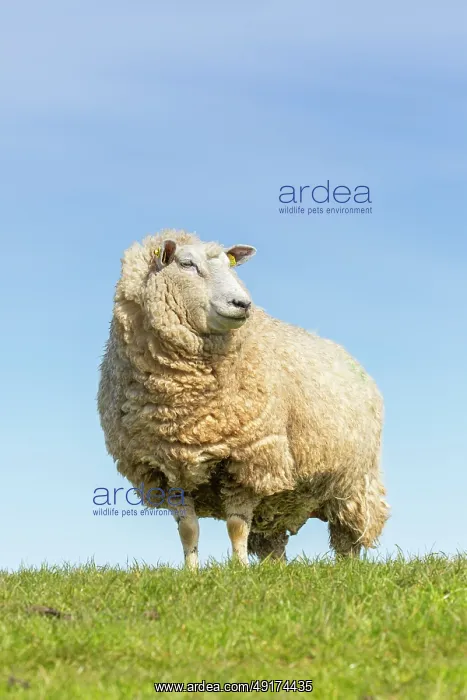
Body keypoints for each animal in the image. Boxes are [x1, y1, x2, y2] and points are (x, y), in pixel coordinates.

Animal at [97, 229, 389, 568]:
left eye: (230, 266)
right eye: (187, 264)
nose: (242, 303)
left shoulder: (249, 456)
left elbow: (237, 526)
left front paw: (238, 569)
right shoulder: (166, 469)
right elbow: (188, 530)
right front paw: (191, 571)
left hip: (354, 482)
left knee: (349, 535)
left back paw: (346, 567)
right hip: (281, 500)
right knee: (272, 538)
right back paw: (273, 569)